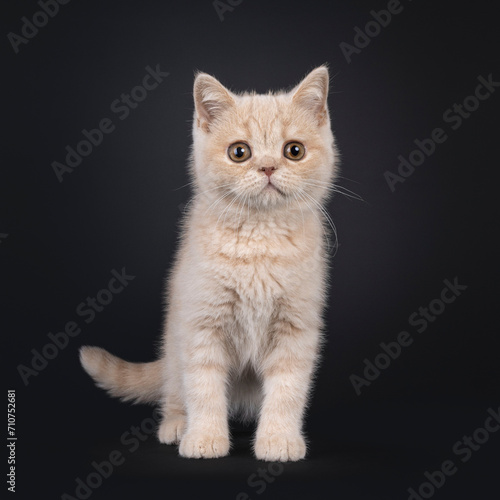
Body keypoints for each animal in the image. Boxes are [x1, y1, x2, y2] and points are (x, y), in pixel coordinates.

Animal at [81, 66, 340, 460]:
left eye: (294, 151)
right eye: (239, 152)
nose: (267, 167)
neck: (259, 240)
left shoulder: (296, 327)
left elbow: (287, 390)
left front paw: (278, 439)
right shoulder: (201, 324)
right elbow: (203, 386)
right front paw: (204, 438)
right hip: (174, 343)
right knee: (175, 388)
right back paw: (176, 425)